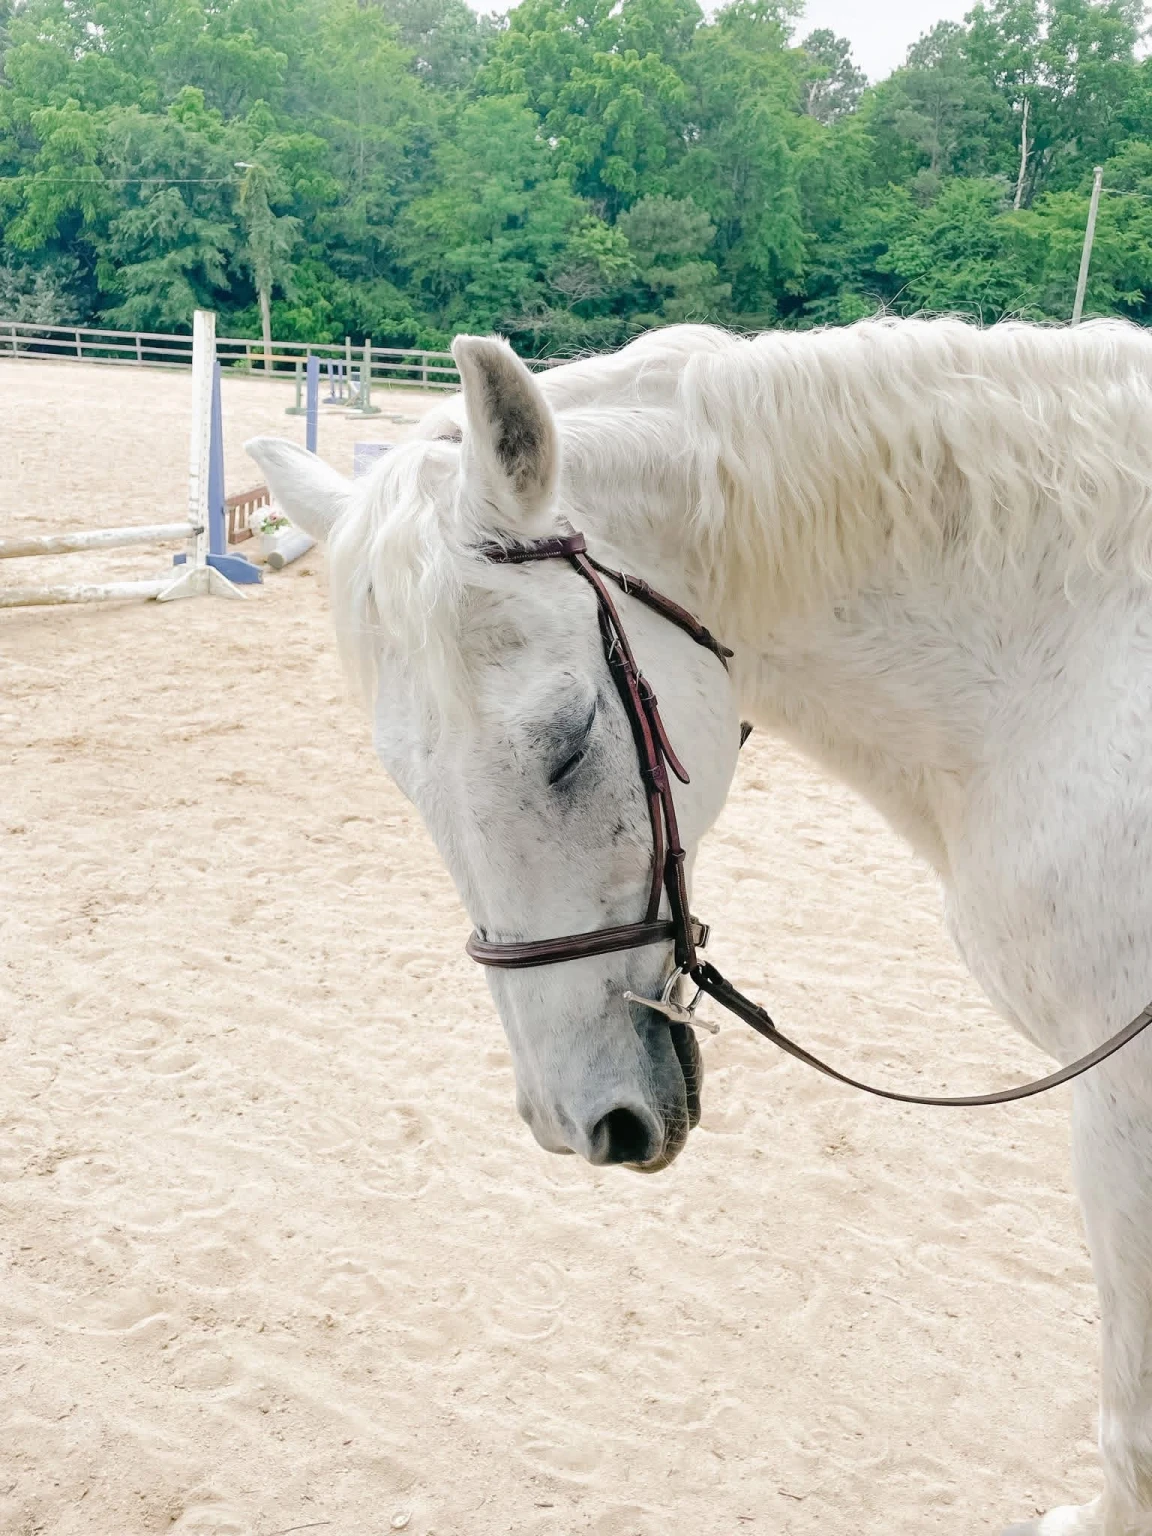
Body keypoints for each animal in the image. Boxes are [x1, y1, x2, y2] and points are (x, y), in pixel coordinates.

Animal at [248, 315, 1152, 1536]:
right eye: (404, 780)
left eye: (573, 739)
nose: (579, 1124)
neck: (1074, 670)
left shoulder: (1122, 1108)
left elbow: (1131, 1417)